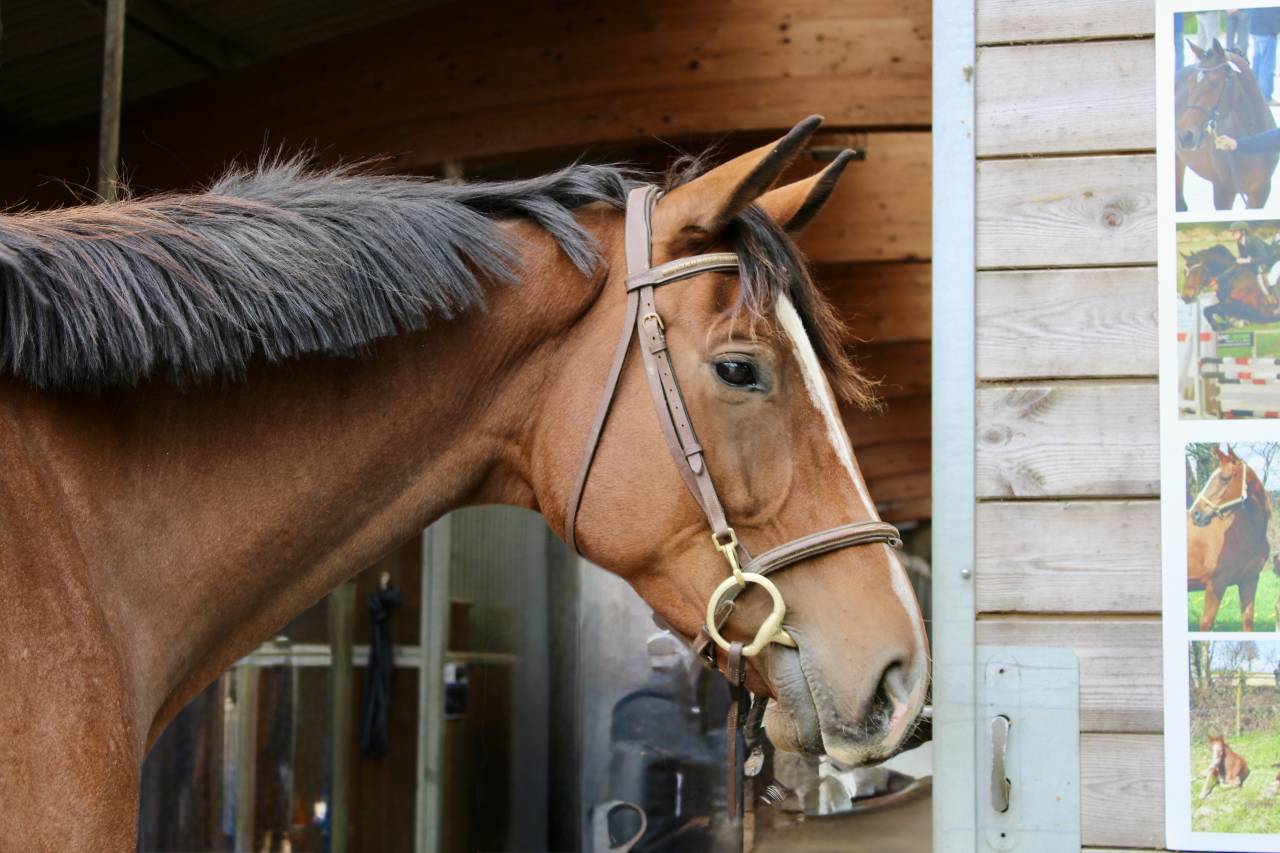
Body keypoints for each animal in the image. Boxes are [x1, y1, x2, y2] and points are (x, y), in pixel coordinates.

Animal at [1188, 445, 1272, 631]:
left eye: (1224, 478)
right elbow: (1206, 624)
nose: (1195, 514)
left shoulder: (1249, 581)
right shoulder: (1215, 584)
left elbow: (1247, 622)